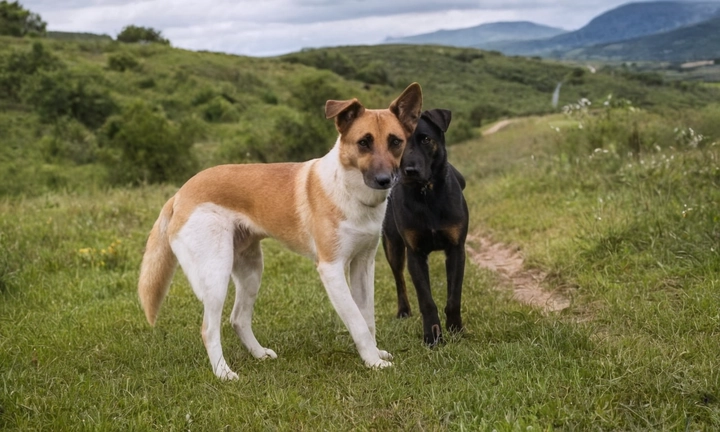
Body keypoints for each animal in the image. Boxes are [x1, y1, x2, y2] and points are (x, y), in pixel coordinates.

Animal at [138, 82, 424, 380]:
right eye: (363, 142)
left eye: (395, 141)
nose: (384, 180)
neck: (349, 190)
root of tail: (180, 194)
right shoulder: (331, 269)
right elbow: (357, 321)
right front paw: (373, 362)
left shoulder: (363, 264)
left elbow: (367, 317)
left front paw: (375, 354)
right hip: (216, 274)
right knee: (209, 329)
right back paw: (224, 373)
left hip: (251, 270)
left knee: (238, 319)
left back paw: (259, 354)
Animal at [380, 109, 470, 346]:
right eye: (397, 143)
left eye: (426, 139)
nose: (409, 171)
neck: (427, 194)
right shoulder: (415, 254)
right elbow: (426, 301)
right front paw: (432, 337)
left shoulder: (456, 249)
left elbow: (454, 297)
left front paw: (455, 329)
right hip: (392, 246)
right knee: (399, 280)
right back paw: (403, 311)